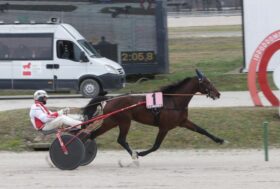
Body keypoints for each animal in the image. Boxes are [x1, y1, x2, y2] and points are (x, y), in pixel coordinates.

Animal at [82, 69, 224, 158]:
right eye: (206, 82)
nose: (218, 94)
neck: (174, 101)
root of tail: (109, 99)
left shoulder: (183, 122)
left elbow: (202, 130)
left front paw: (220, 140)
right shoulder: (164, 127)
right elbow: (156, 146)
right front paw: (140, 153)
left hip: (111, 121)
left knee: (93, 135)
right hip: (124, 121)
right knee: (120, 139)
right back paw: (134, 155)